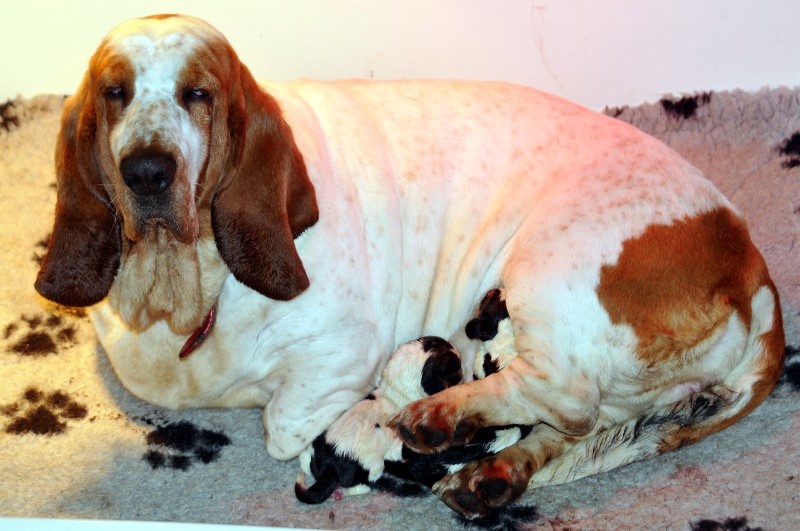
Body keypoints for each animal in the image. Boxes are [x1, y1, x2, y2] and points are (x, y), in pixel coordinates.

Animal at [34, 13, 784, 520]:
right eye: (115, 93)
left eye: (198, 94)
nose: (147, 170)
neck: (188, 286)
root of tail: (750, 266)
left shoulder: (340, 354)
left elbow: (283, 422)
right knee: (572, 425)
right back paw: (492, 474)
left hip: (548, 267)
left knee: (563, 392)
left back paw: (441, 418)